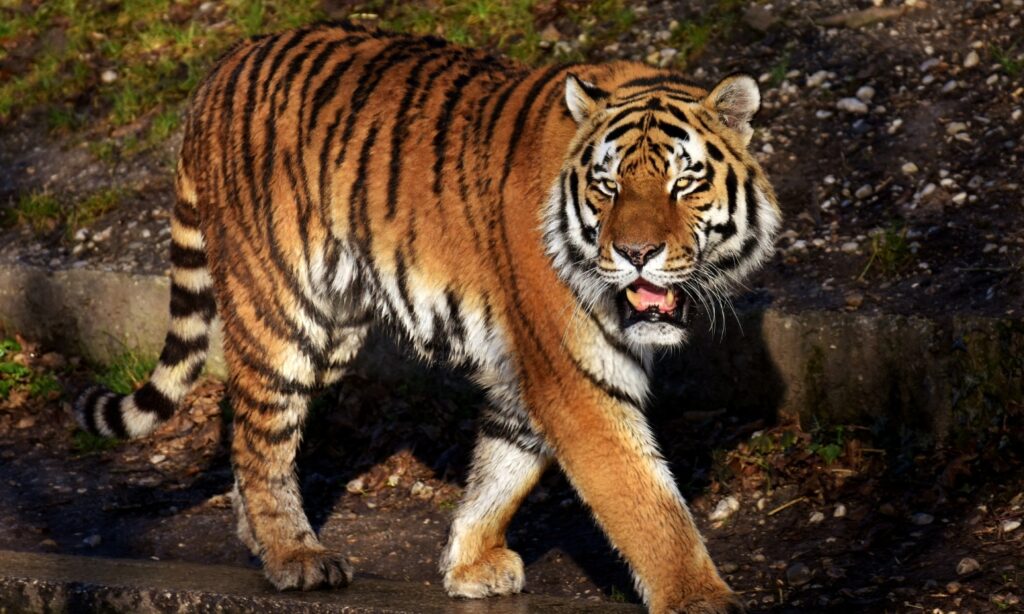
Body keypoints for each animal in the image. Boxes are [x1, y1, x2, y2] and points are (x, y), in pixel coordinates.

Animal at [73, 21, 780, 614]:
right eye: (608, 187)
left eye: (684, 183)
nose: (636, 254)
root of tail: (222, 69)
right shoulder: (575, 375)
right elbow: (647, 502)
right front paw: (699, 600)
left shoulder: (527, 371)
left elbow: (503, 467)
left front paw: (468, 565)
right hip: (280, 311)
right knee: (260, 434)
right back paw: (294, 555)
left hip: (335, 329)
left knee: (248, 427)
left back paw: (261, 538)